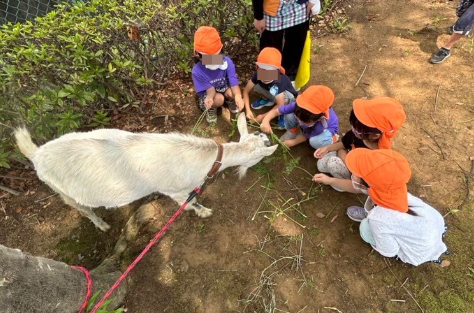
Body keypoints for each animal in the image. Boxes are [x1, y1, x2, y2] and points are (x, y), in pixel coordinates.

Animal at [14, 113, 276, 230]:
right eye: (262, 152)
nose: (268, 136)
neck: (205, 159)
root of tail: (36, 154)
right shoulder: (174, 190)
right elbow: (190, 202)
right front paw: (203, 212)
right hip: (62, 191)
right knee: (83, 210)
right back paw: (102, 225)